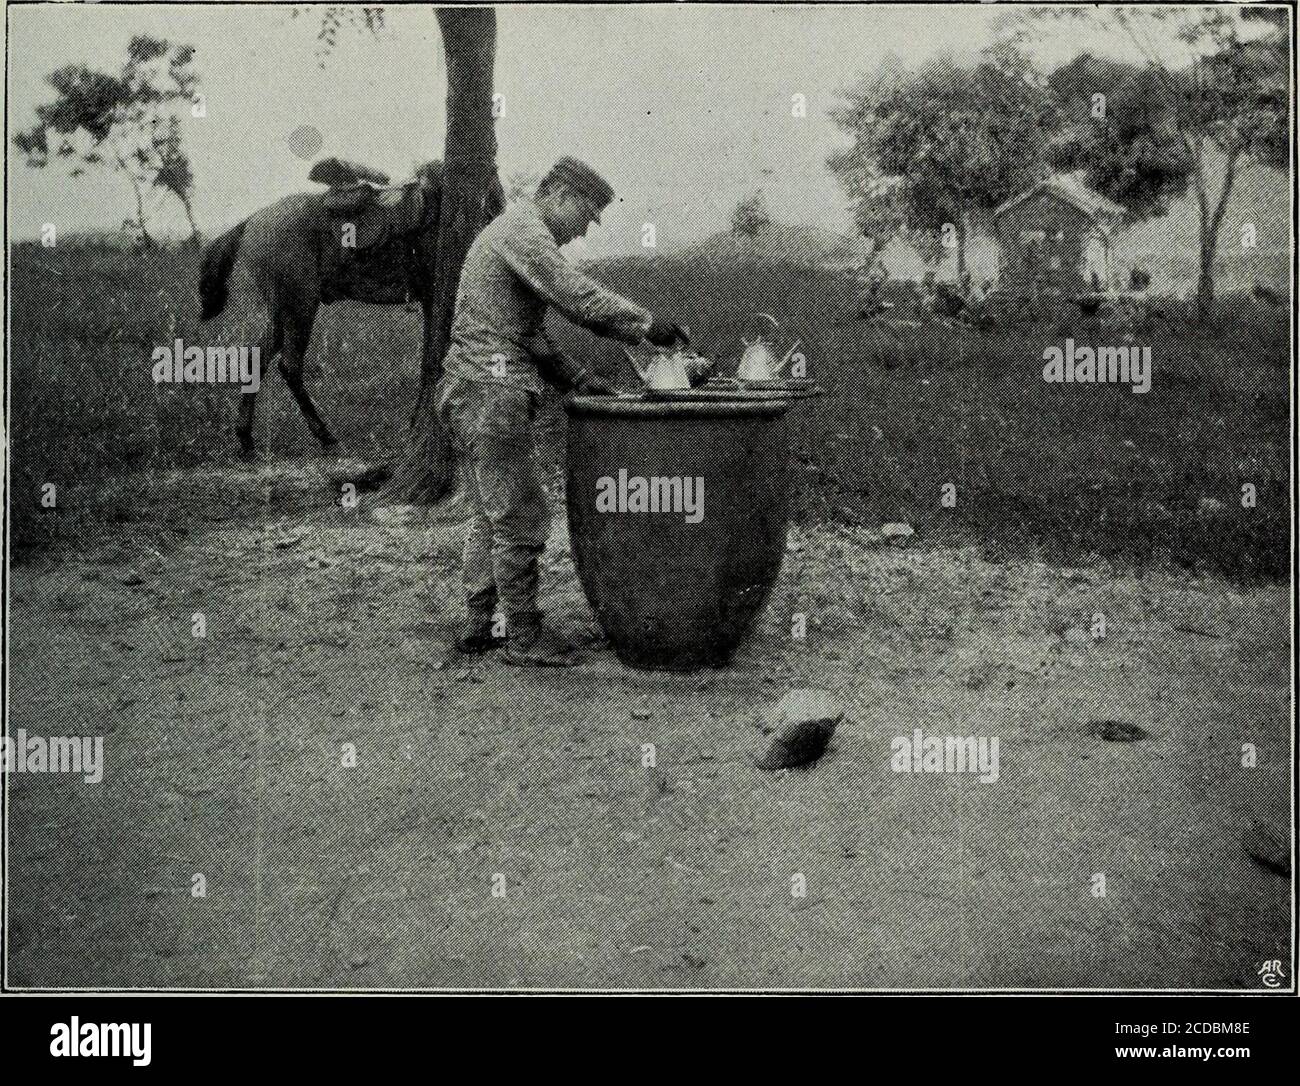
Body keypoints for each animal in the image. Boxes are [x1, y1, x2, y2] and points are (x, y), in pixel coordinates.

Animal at [200, 157, 504, 455]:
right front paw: (420, 421)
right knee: (290, 366)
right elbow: (432, 360)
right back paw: (325, 435)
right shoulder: (434, 298)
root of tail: (252, 220)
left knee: (257, 359)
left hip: (281, 313)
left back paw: (245, 437)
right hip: (300, 307)